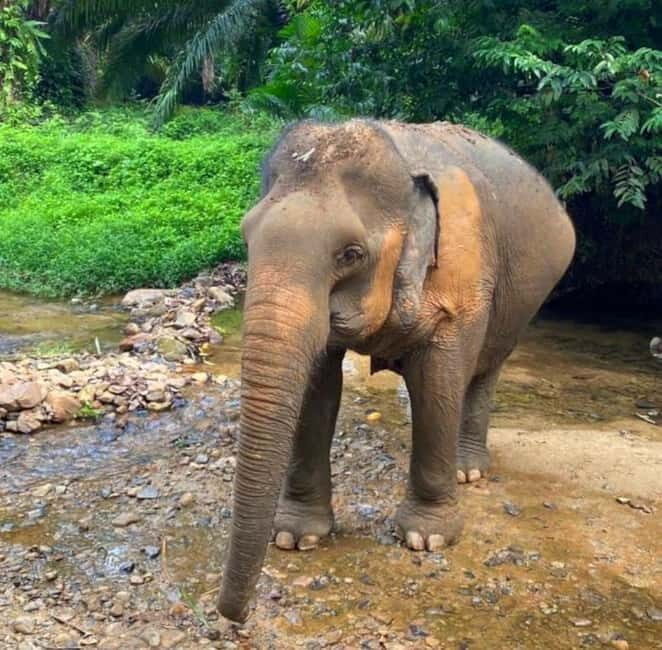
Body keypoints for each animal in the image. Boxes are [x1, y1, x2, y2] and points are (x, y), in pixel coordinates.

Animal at [217, 119, 576, 622]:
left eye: (350, 254)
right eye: (247, 237)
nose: (233, 616)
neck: (400, 161)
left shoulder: (461, 273)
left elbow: (440, 379)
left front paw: (427, 538)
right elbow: (317, 386)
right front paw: (295, 537)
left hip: (524, 297)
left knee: (484, 370)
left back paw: (468, 471)